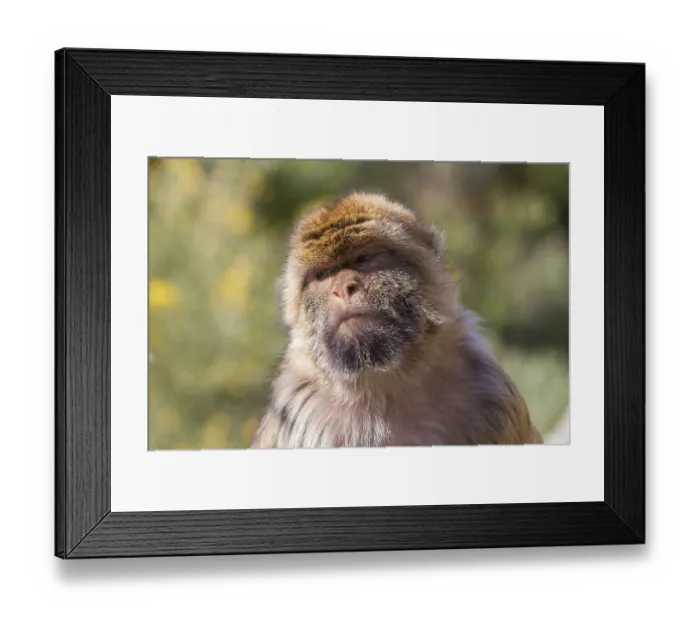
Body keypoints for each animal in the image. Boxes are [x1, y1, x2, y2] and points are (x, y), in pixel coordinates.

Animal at [250, 192, 543, 449]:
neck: (386, 381)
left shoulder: (493, 398)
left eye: (365, 258)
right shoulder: (300, 418)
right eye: (323, 274)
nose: (342, 289)